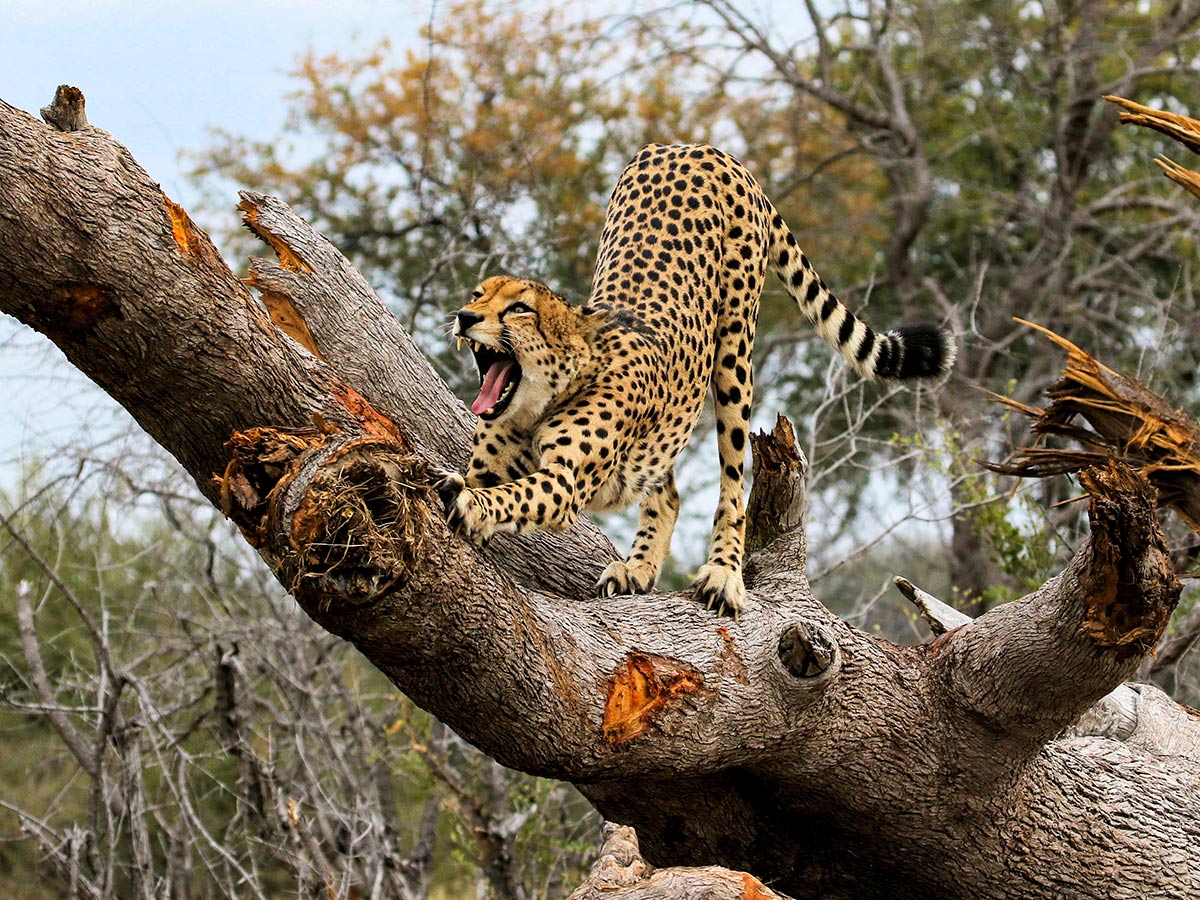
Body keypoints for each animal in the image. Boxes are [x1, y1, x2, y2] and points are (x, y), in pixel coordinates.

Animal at [435, 143, 954, 618]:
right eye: (477, 294)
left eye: (519, 308)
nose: (464, 316)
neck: (540, 399)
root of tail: (698, 147)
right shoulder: (490, 462)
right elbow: (489, 483)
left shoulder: (565, 479)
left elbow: (513, 494)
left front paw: (473, 506)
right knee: (668, 491)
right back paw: (638, 567)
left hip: (734, 356)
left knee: (732, 484)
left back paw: (724, 573)